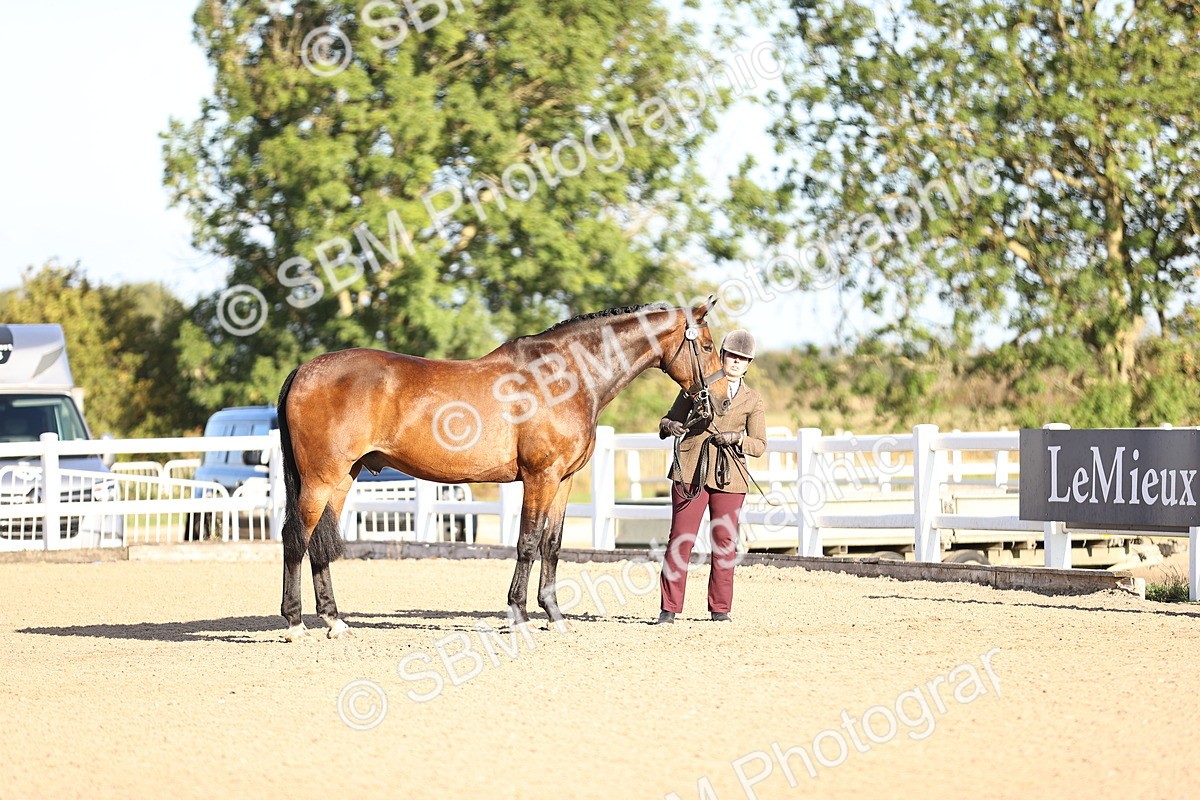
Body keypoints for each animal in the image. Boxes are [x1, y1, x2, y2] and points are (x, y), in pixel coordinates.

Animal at [275, 298, 730, 640]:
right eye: (707, 347)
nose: (722, 402)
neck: (567, 375)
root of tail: (303, 370)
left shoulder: (564, 480)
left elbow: (552, 544)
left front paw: (555, 615)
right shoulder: (539, 477)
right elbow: (527, 543)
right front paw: (519, 615)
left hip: (341, 478)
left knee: (319, 543)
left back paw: (334, 621)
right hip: (320, 479)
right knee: (296, 539)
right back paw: (296, 623)